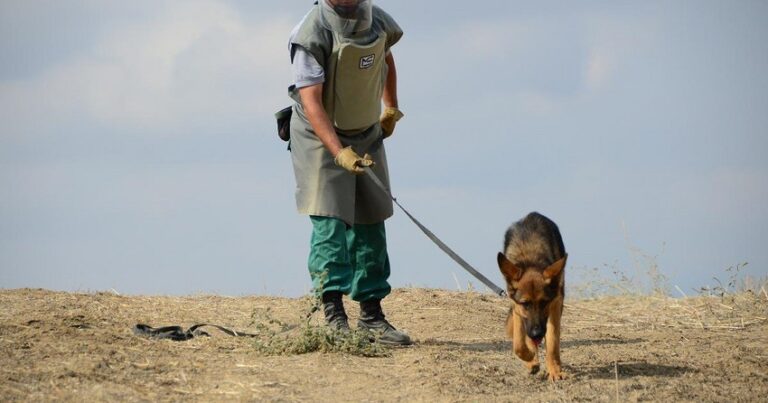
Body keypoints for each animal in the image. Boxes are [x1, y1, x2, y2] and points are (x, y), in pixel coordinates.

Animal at [496, 213, 568, 380]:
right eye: (525, 303)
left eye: (544, 302)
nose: (537, 333)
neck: (530, 259)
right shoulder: (517, 308)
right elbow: (518, 343)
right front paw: (529, 358)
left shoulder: (555, 303)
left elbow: (552, 340)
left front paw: (554, 370)